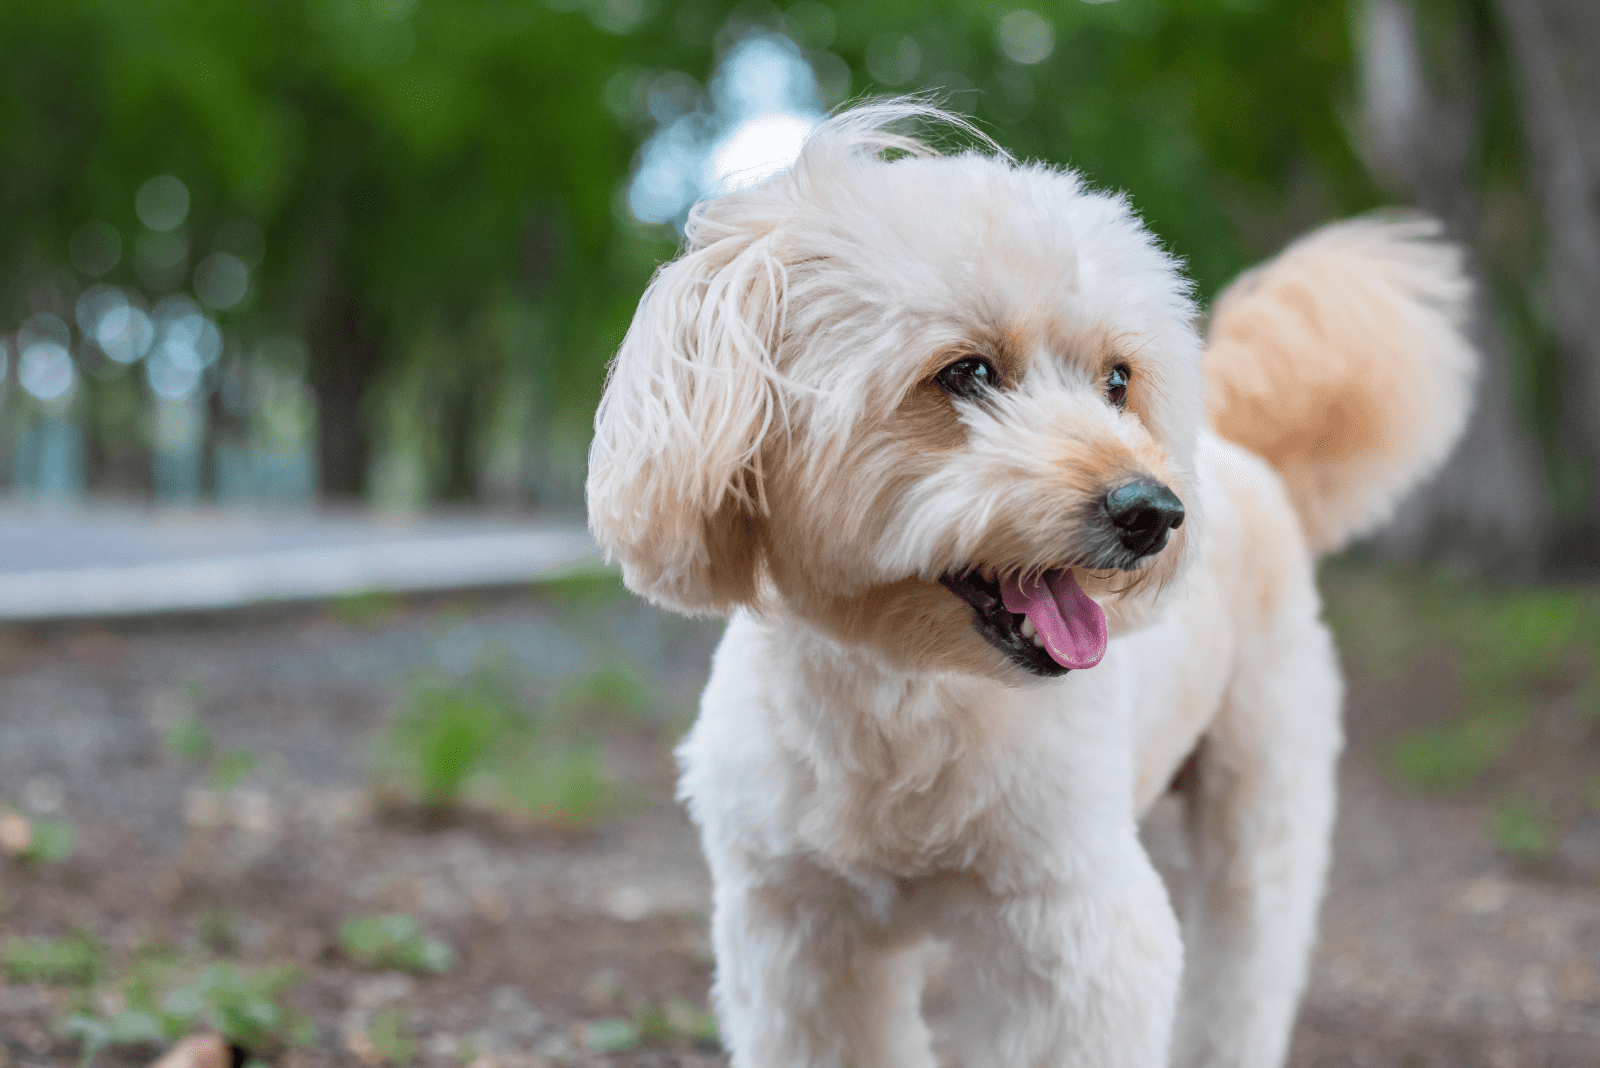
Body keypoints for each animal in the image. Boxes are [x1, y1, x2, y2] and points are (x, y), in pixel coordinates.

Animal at [588, 102, 1472, 1068]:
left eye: (1118, 380)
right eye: (967, 372)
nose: (1153, 511)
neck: (907, 694)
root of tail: (1241, 450)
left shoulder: (1073, 933)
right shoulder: (800, 933)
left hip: (1265, 802)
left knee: (1246, 965)